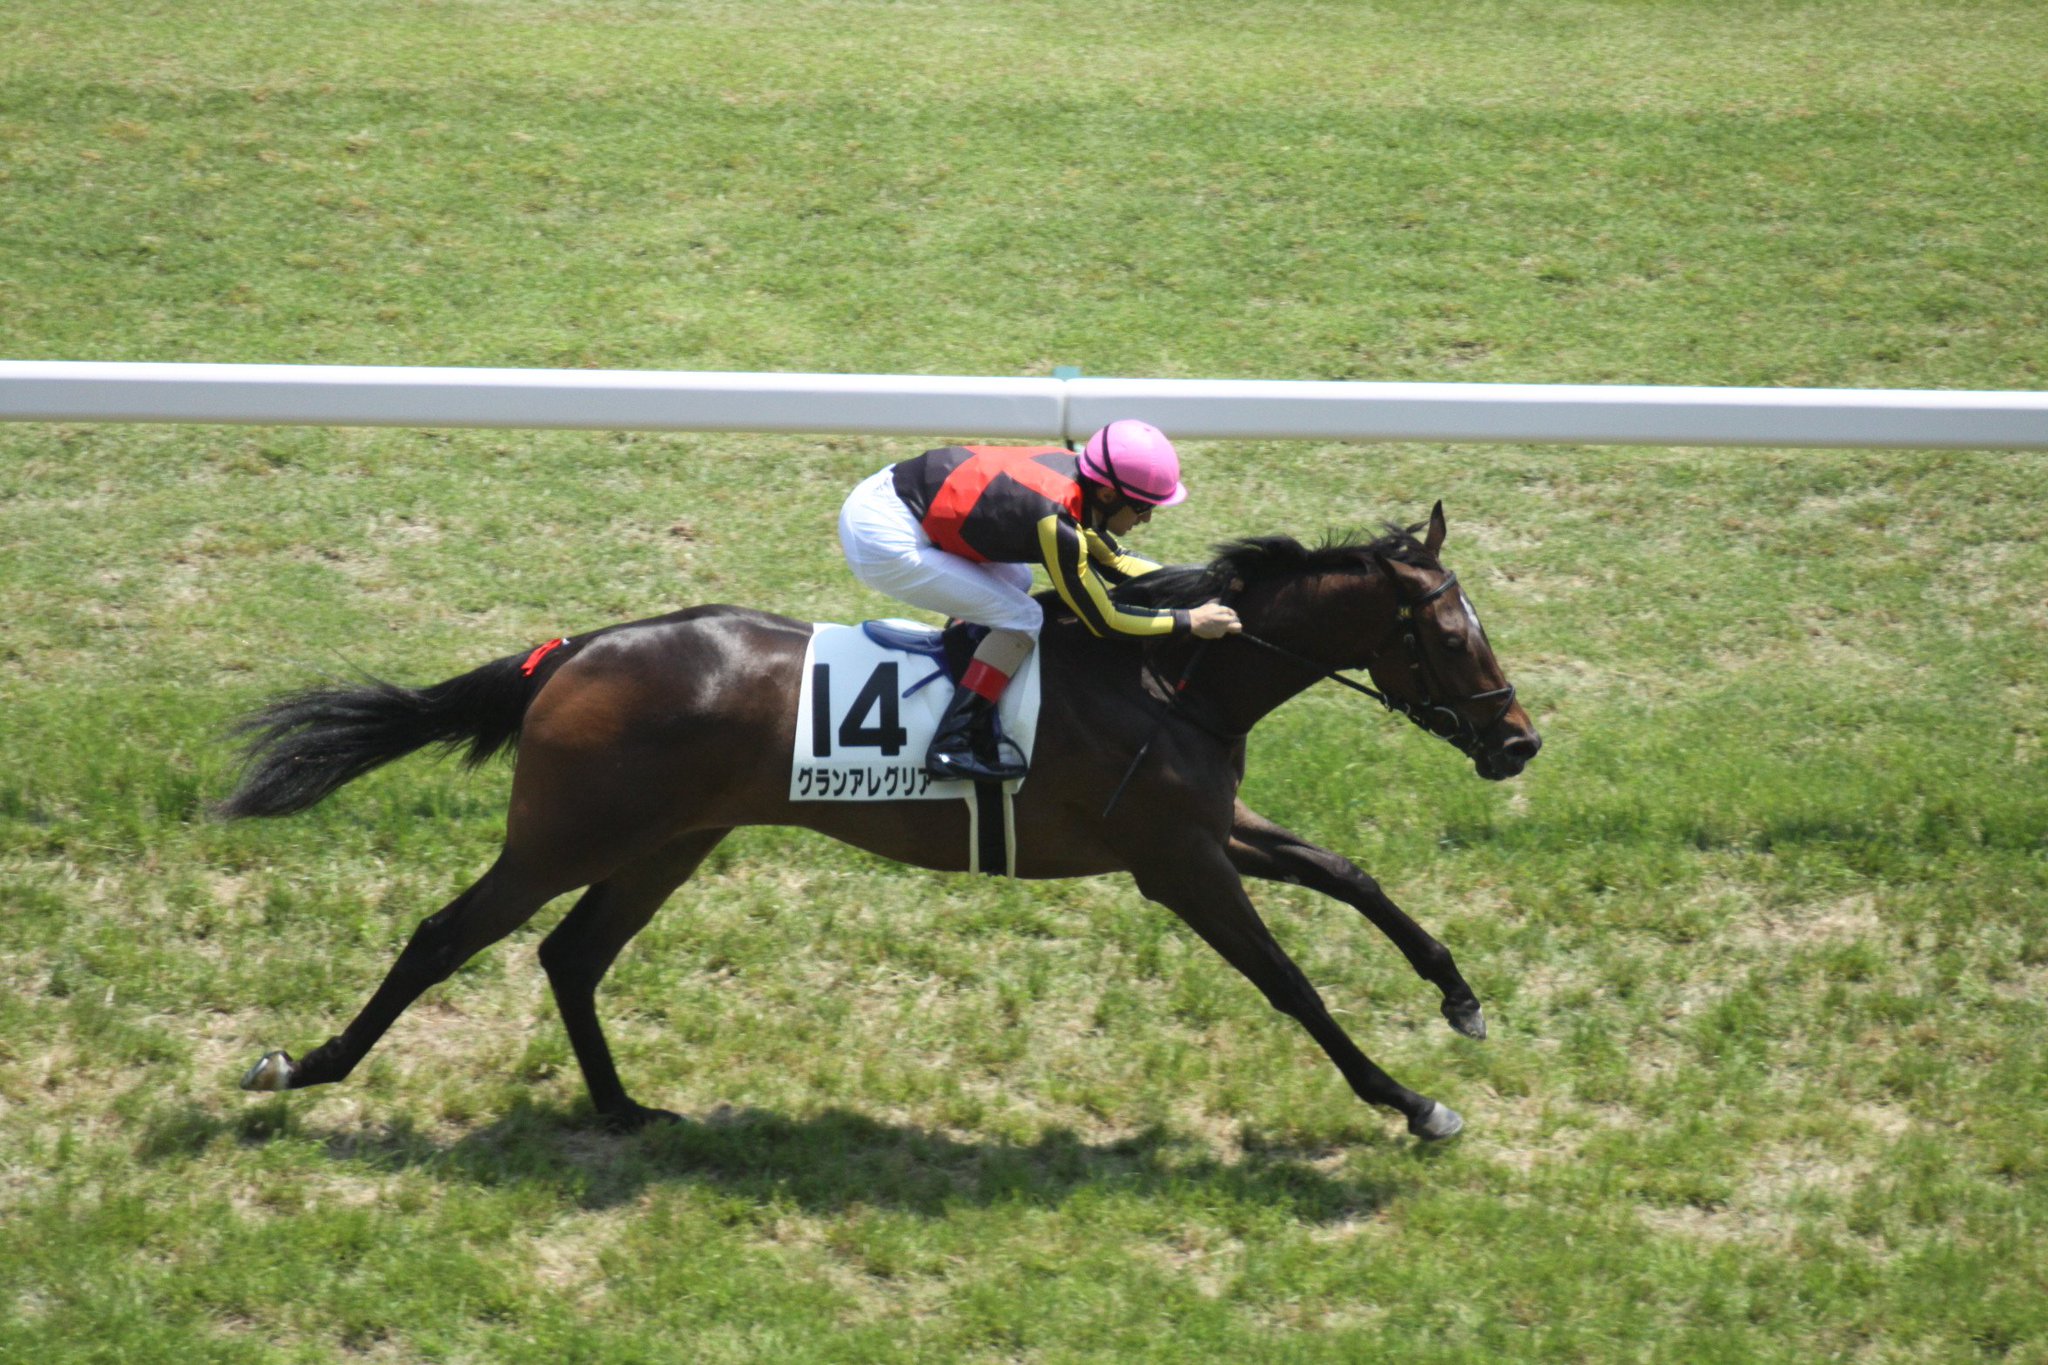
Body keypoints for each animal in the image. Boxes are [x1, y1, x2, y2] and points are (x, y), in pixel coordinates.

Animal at [224, 502, 1540, 1142]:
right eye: (1447, 631)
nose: (1518, 741)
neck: (1171, 679)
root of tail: (575, 651)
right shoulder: (1174, 862)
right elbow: (1291, 985)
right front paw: (1410, 1103)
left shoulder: (1208, 829)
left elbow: (1349, 873)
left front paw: (1459, 999)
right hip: (567, 836)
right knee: (445, 937)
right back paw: (304, 1067)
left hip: (669, 843)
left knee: (571, 956)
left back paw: (622, 1109)